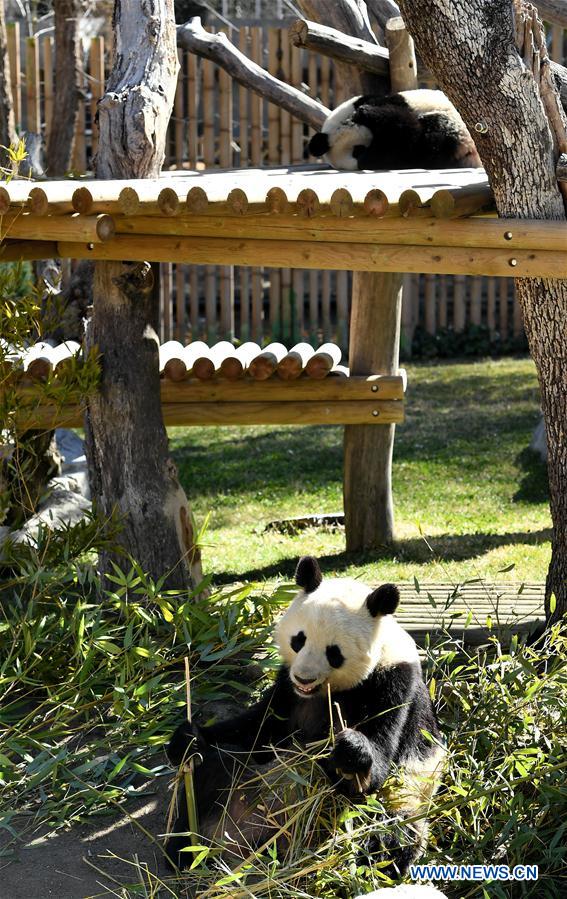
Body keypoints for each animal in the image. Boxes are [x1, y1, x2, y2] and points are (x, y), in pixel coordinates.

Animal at [166, 556, 445, 875]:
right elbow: (257, 729)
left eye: (334, 653)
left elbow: (373, 770)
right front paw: (188, 738)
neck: (323, 693)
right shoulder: (286, 691)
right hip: (242, 780)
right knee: (215, 767)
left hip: (403, 797)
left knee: (391, 832)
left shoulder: (392, 683)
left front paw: (349, 748)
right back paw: (185, 847)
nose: (303, 677)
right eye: (298, 639)